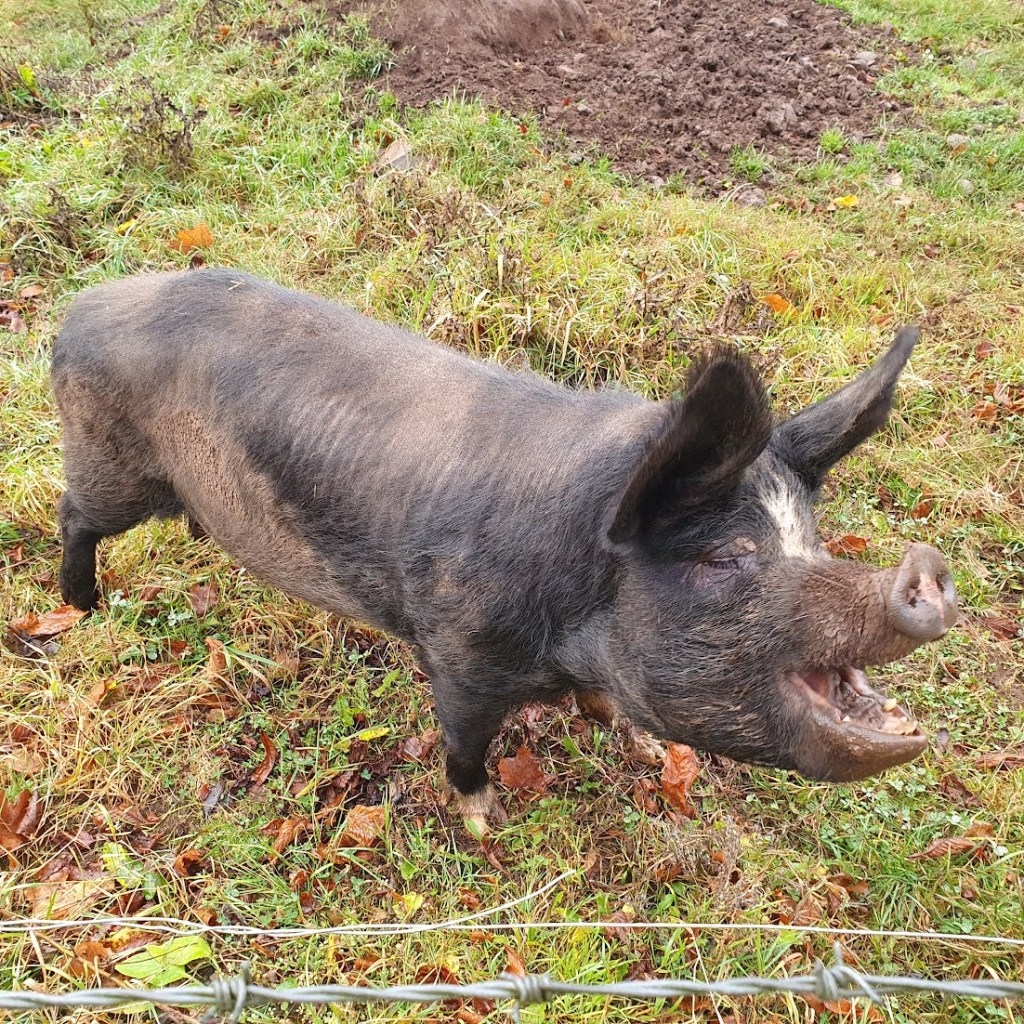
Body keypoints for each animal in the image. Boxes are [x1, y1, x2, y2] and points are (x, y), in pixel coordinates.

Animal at [52, 269, 958, 829]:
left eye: (810, 538)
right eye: (722, 558)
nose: (925, 571)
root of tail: (78, 310)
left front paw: (645, 749)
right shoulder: (458, 653)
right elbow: (465, 744)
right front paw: (486, 824)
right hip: (107, 463)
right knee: (72, 516)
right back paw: (78, 609)